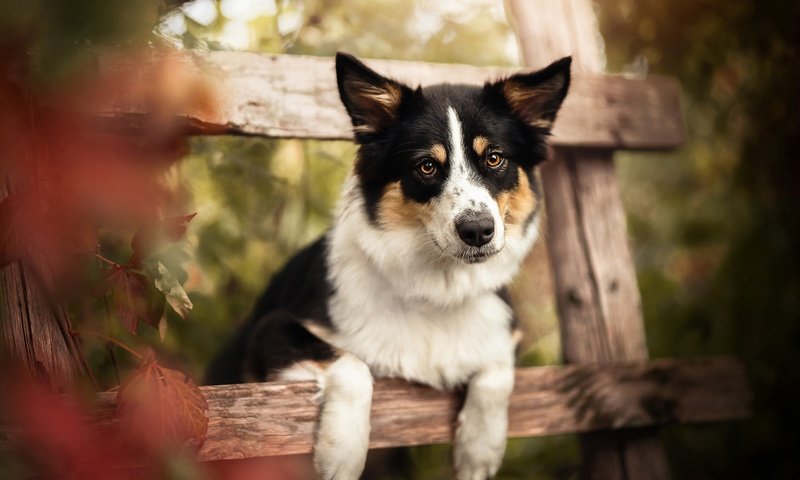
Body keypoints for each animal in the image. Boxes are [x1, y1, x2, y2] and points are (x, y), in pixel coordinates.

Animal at [205, 52, 568, 480]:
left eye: (494, 158)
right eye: (426, 166)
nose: (478, 231)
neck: (437, 289)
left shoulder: (504, 331)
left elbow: (496, 370)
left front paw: (480, 449)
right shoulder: (269, 331)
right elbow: (352, 364)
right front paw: (342, 453)